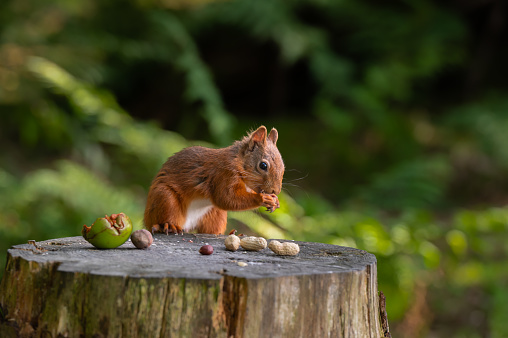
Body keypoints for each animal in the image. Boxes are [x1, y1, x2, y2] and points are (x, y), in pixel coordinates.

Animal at [145, 126, 284, 235]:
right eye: (263, 165)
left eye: (283, 166)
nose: (275, 191)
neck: (238, 162)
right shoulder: (223, 175)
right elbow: (226, 198)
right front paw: (263, 198)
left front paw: (275, 202)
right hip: (165, 198)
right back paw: (168, 226)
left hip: (215, 215)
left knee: (211, 231)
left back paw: (231, 233)